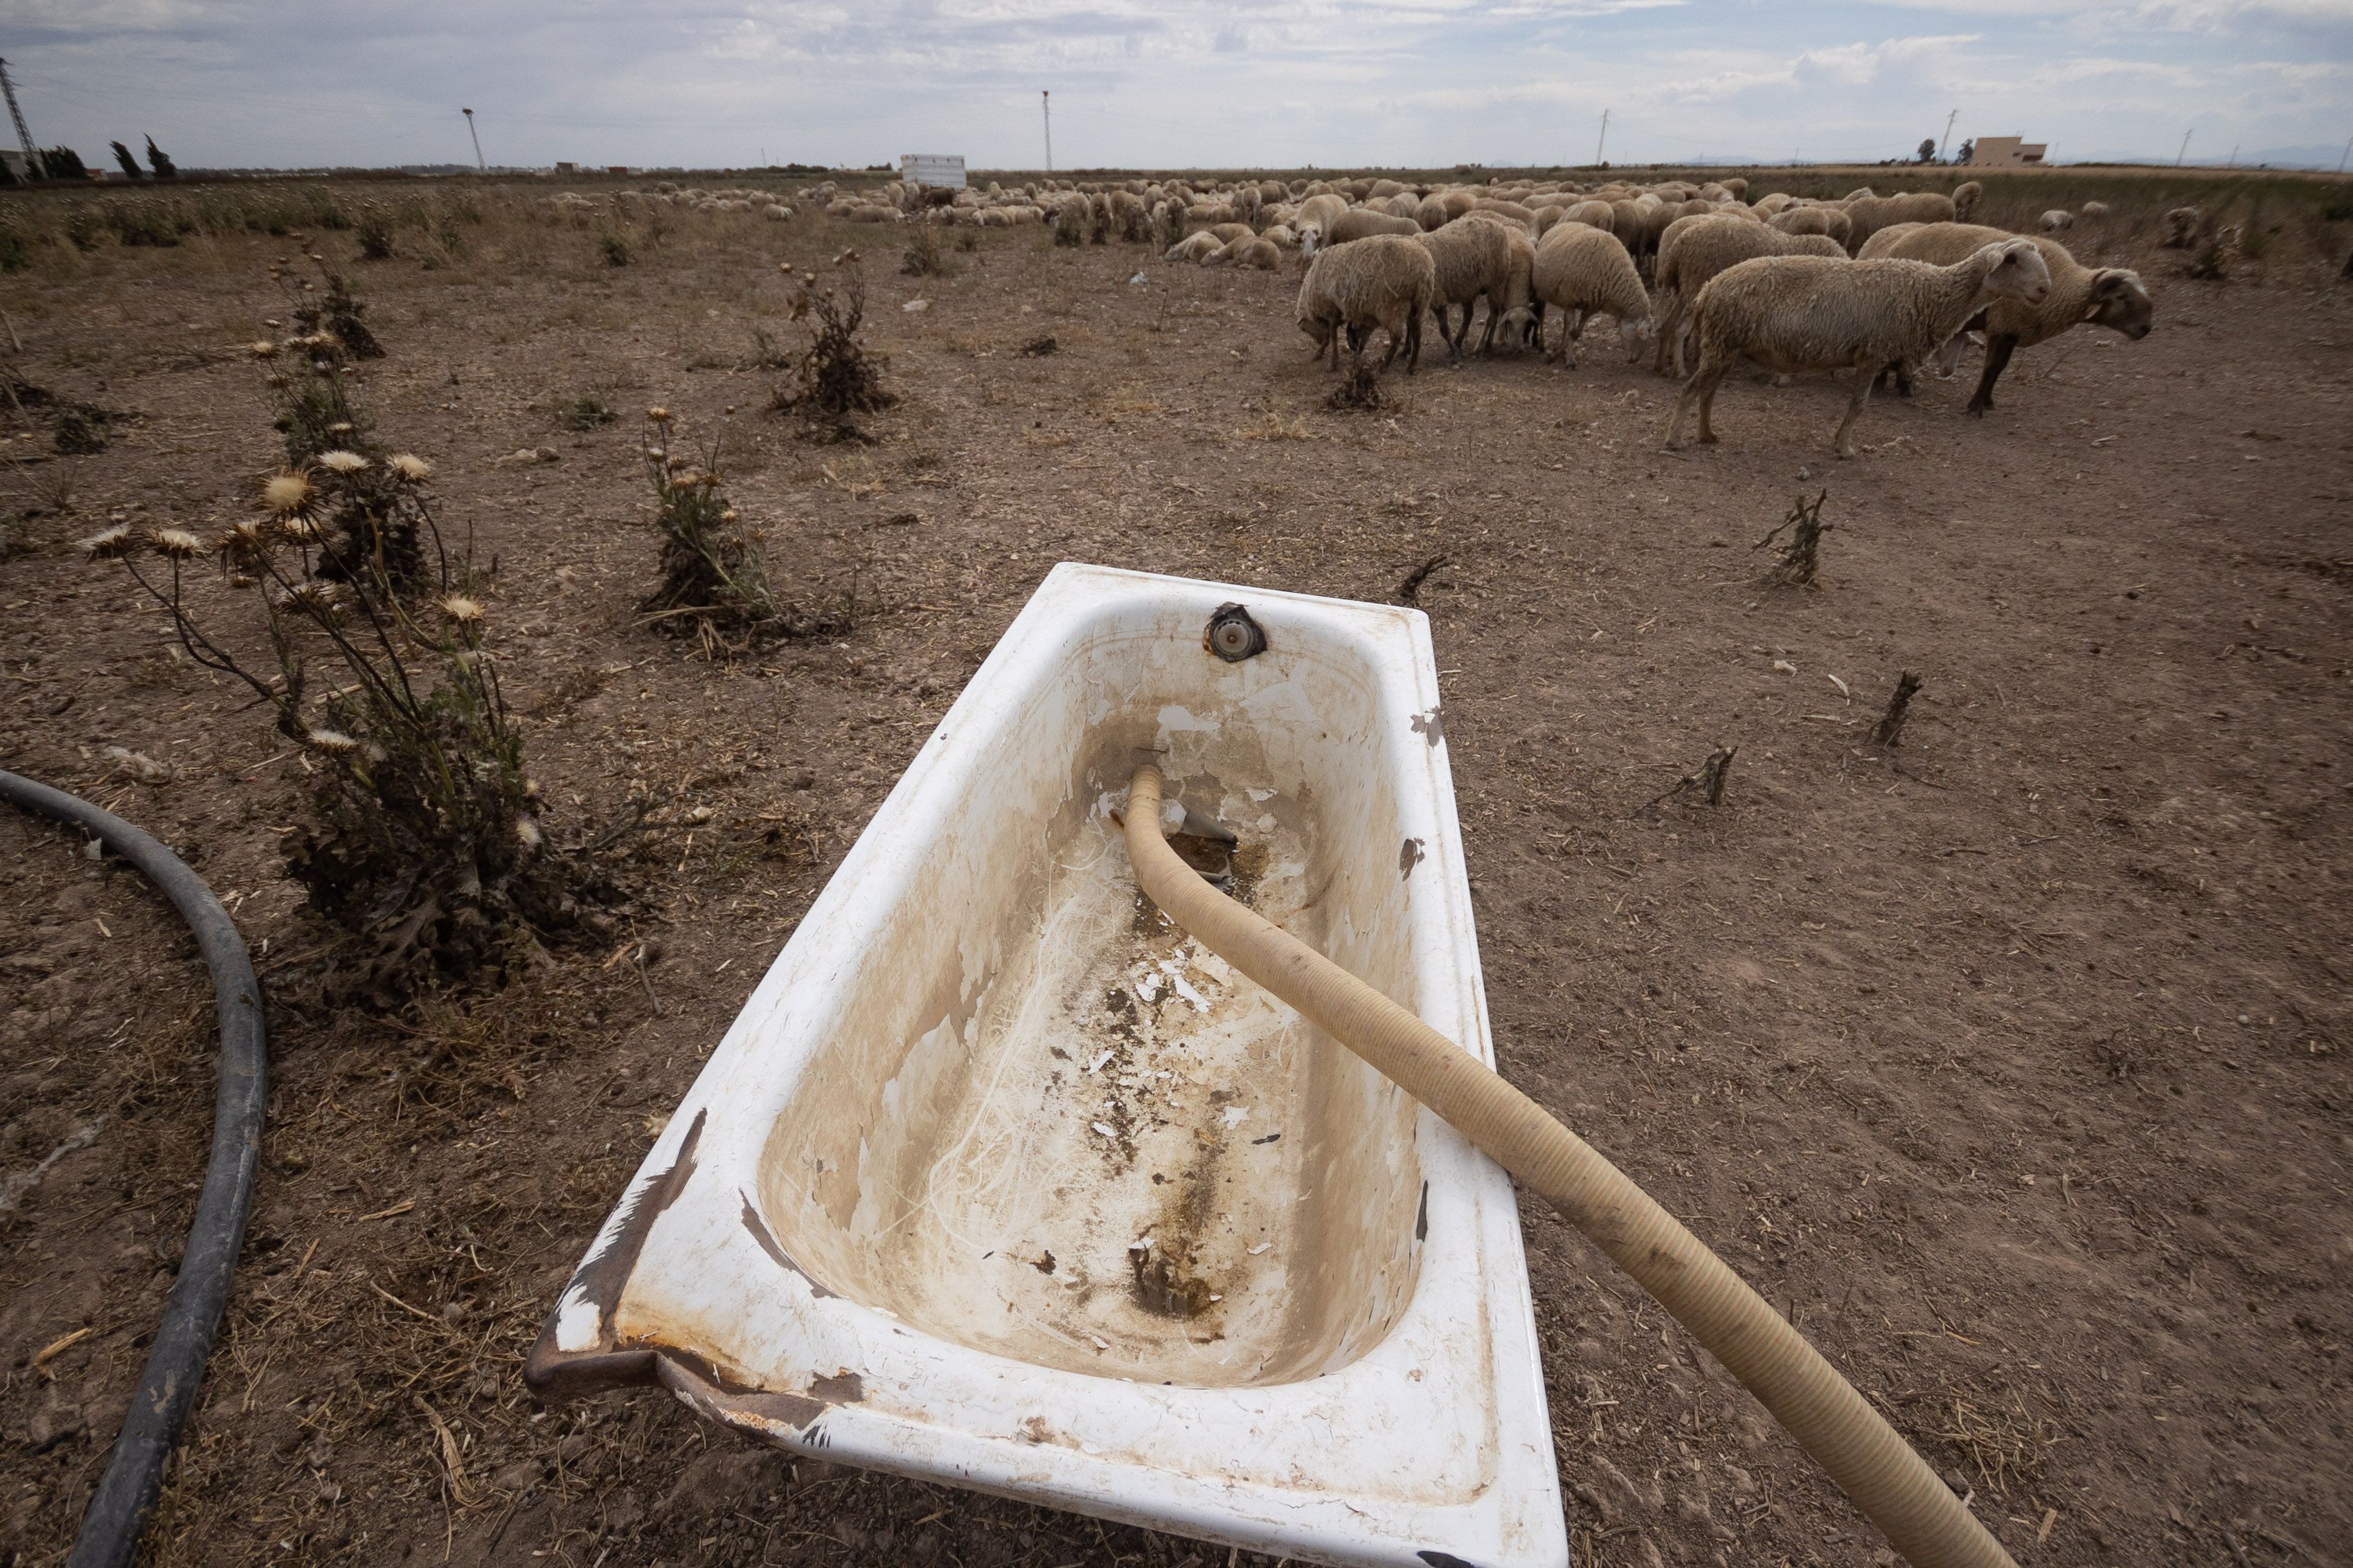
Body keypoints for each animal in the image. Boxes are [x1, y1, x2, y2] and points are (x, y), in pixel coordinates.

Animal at [1296, 235, 1436, 373]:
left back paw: (1383, 367)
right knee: (1417, 333)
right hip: (1419, 304)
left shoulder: (1330, 310)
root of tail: (1423, 269)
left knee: (1396, 337)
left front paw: (1331, 361)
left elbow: (1332, 337)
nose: (1317, 341)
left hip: (1391, 307)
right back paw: (1412, 366)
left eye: (1304, 329)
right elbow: (1344, 335)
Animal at [1530, 222, 1652, 368]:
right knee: (1542, 317)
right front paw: (1569, 361)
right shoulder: (1569, 300)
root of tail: (1563, 223)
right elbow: (1572, 331)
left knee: (1565, 323)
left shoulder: (1591, 307)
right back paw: (1542, 345)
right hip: (1546, 293)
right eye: (1640, 334)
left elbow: (1576, 333)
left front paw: (1562, 355)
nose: (1634, 360)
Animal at [1652, 215, 1846, 376]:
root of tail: (1678, 247)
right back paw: (1680, 370)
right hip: (1696, 285)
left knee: (1668, 325)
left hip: (1686, 288)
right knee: (1679, 328)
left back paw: (1661, 365)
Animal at [1665, 239, 2052, 457]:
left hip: (1727, 347)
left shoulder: (1874, 355)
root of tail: (1708, 289)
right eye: (2012, 259)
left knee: (1708, 393)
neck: (1929, 293)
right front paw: (1845, 449)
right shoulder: (1873, 353)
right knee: (1690, 390)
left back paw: (1706, 435)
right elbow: (1859, 405)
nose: (2045, 290)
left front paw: (1840, 443)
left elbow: (1856, 405)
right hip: (1722, 342)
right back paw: (1674, 440)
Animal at [1863, 222, 2154, 414]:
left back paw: (1901, 386)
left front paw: (1989, 401)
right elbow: (1991, 368)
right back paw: (1887, 384)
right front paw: (1975, 407)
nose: (2147, 328)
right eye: (2122, 297)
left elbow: (2000, 368)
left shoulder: (2014, 331)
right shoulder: (2001, 326)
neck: (2063, 285)